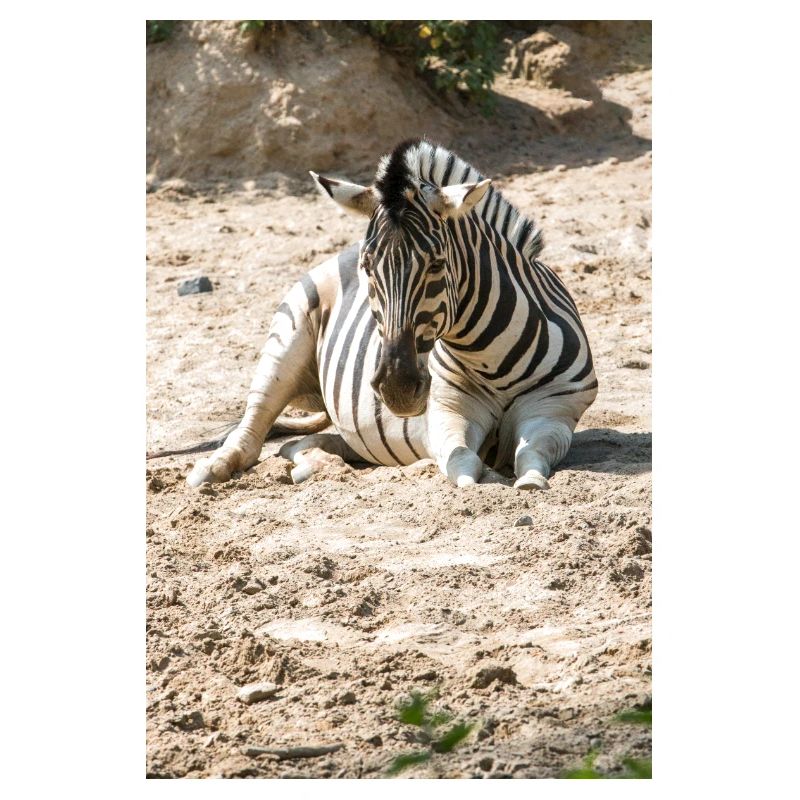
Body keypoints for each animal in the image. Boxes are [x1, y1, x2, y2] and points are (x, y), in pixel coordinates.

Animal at [186, 138, 597, 490]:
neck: (489, 357)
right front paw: (485, 479)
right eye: (368, 266)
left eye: (436, 264)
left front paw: (529, 480)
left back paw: (313, 465)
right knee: (254, 422)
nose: (396, 388)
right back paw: (212, 469)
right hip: (286, 339)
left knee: (304, 444)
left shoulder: (555, 409)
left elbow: (532, 454)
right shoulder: (447, 411)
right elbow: (463, 463)